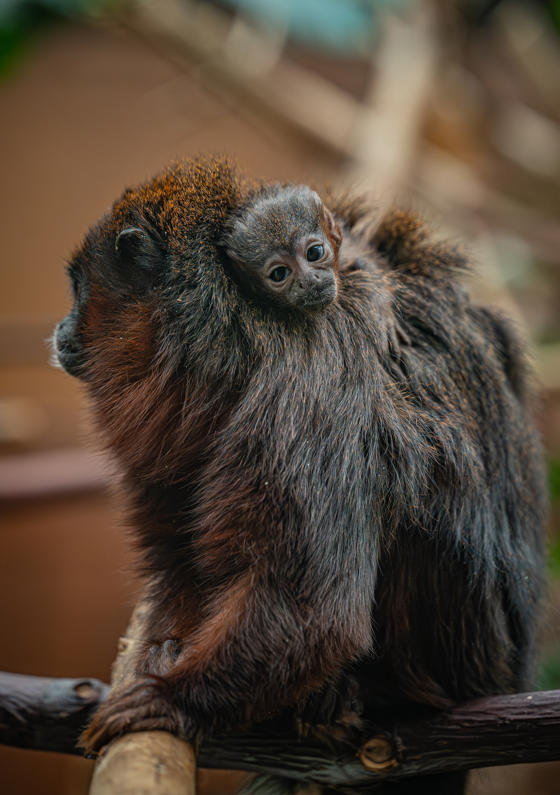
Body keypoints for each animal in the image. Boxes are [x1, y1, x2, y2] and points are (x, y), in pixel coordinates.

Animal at [53, 158, 545, 795]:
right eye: (279, 271)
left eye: (80, 292)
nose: (62, 328)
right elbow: (180, 556)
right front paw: (164, 646)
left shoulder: (310, 375)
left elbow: (313, 606)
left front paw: (174, 701)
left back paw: (371, 696)